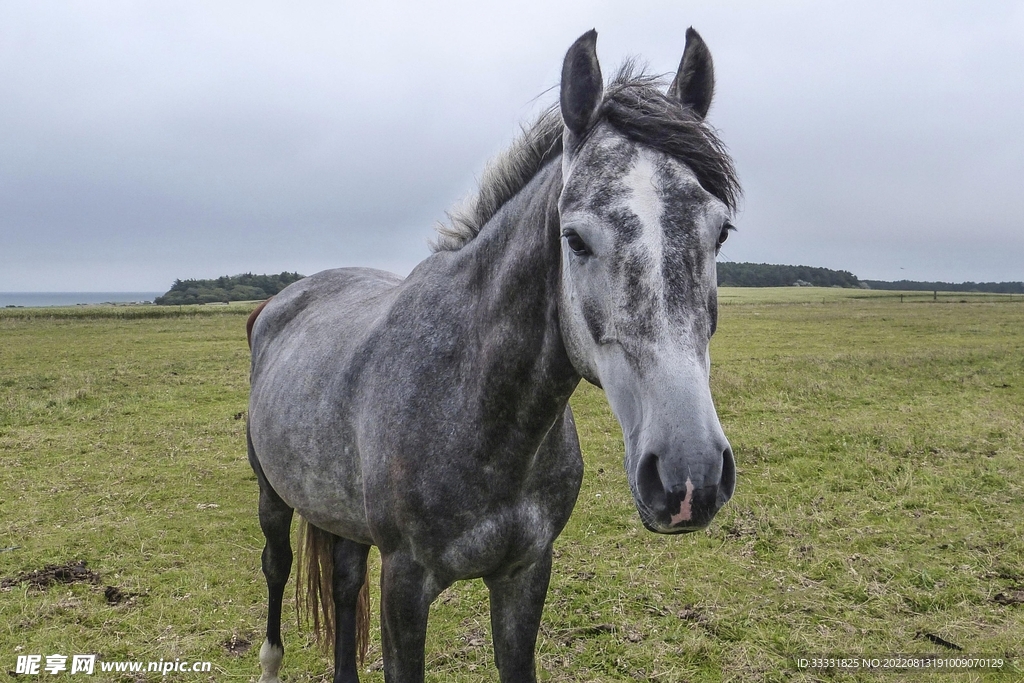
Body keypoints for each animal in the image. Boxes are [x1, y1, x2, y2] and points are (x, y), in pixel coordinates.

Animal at [246, 27, 739, 683]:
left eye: (721, 232)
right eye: (574, 238)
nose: (690, 479)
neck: (476, 406)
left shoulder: (525, 573)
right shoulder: (405, 587)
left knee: (346, 583)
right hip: (273, 496)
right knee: (276, 567)